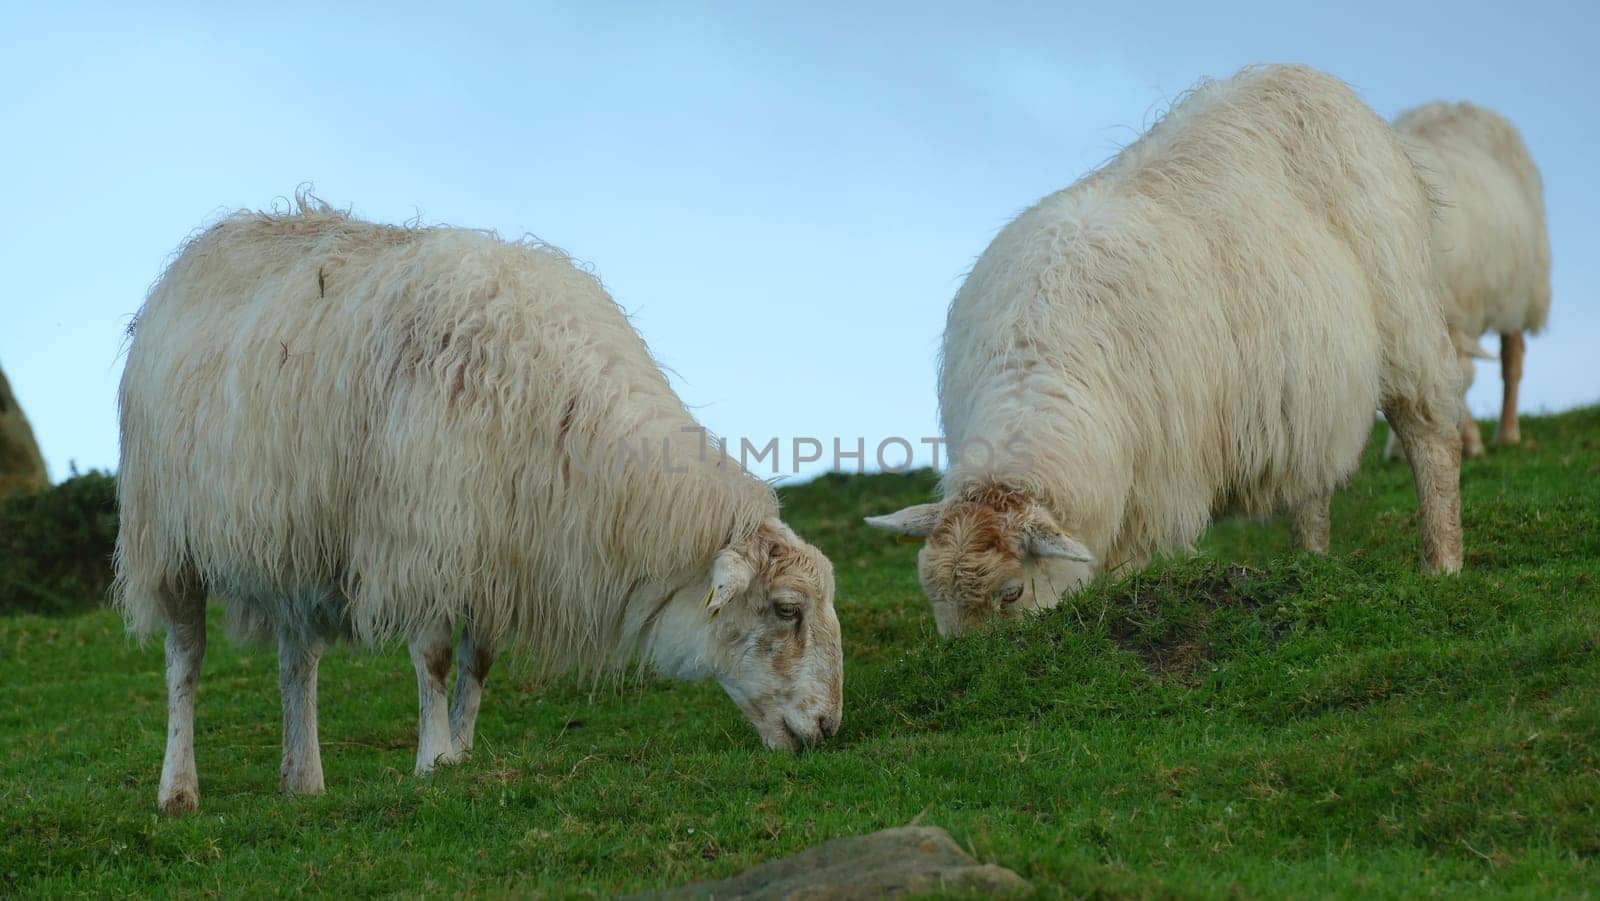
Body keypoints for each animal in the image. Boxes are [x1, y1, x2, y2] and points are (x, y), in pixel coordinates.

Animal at [114, 199, 851, 819]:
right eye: (787, 609)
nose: (826, 729)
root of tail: (212, 237)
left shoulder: (497, 552)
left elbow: (480, 663)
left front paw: (462, 758)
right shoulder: (426, 537)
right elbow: (437, 657)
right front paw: (433, 760)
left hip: (296, 540)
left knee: (298, 661)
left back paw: (304, 781)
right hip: (165, 535)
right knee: (185, 659)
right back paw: (177, 789)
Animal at [870, 65, 1465, 633]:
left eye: (1012, 593)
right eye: (934, 599)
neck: (1035, 363)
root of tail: (1306, 76)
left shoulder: (1155, 478)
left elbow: (1127, 564)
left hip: (1405, 318)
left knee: (1431, 438)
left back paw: (1443, 564)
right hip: (1308, 376)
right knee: (1312, 477)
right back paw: (1308, 562)